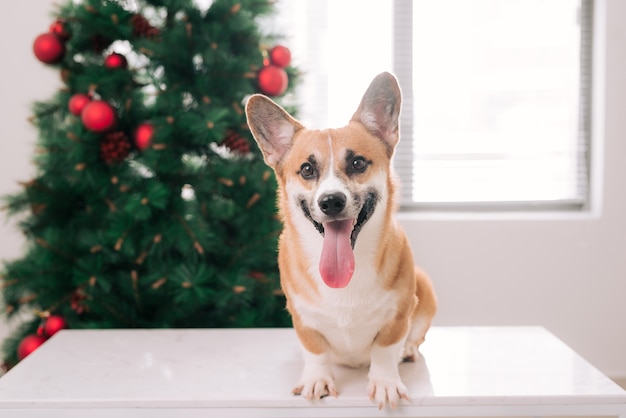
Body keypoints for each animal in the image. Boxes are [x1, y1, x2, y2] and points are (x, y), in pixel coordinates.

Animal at [244, 72, 434, 408]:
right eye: (307, 169)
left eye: (357, 163)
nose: (331, 201)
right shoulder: (302, 317)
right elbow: (316, 351)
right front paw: (316, 380)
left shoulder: (399, 313)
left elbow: (385, 351)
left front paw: (385, 383)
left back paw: (409, 351)